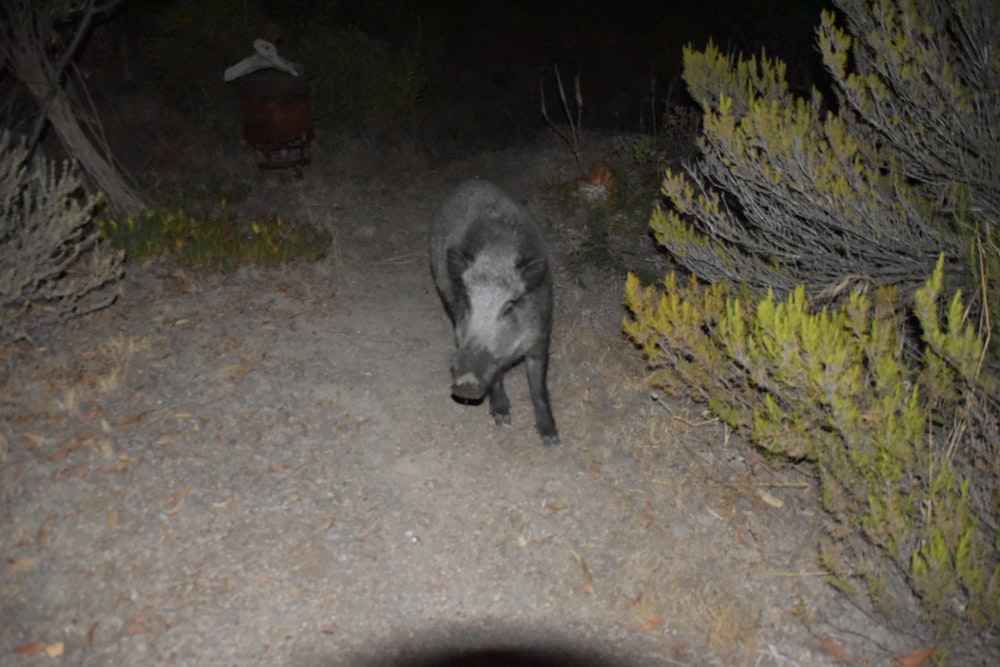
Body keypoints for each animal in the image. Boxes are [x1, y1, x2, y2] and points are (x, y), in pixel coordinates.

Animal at [428, 180, 560, 446]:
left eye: (509, 307)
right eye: (468, 302)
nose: (467, 382)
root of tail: (471, 181)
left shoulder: (542, 336)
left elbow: (538, 388)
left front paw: (551, 439)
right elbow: (497, 376)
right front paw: (502, 418)